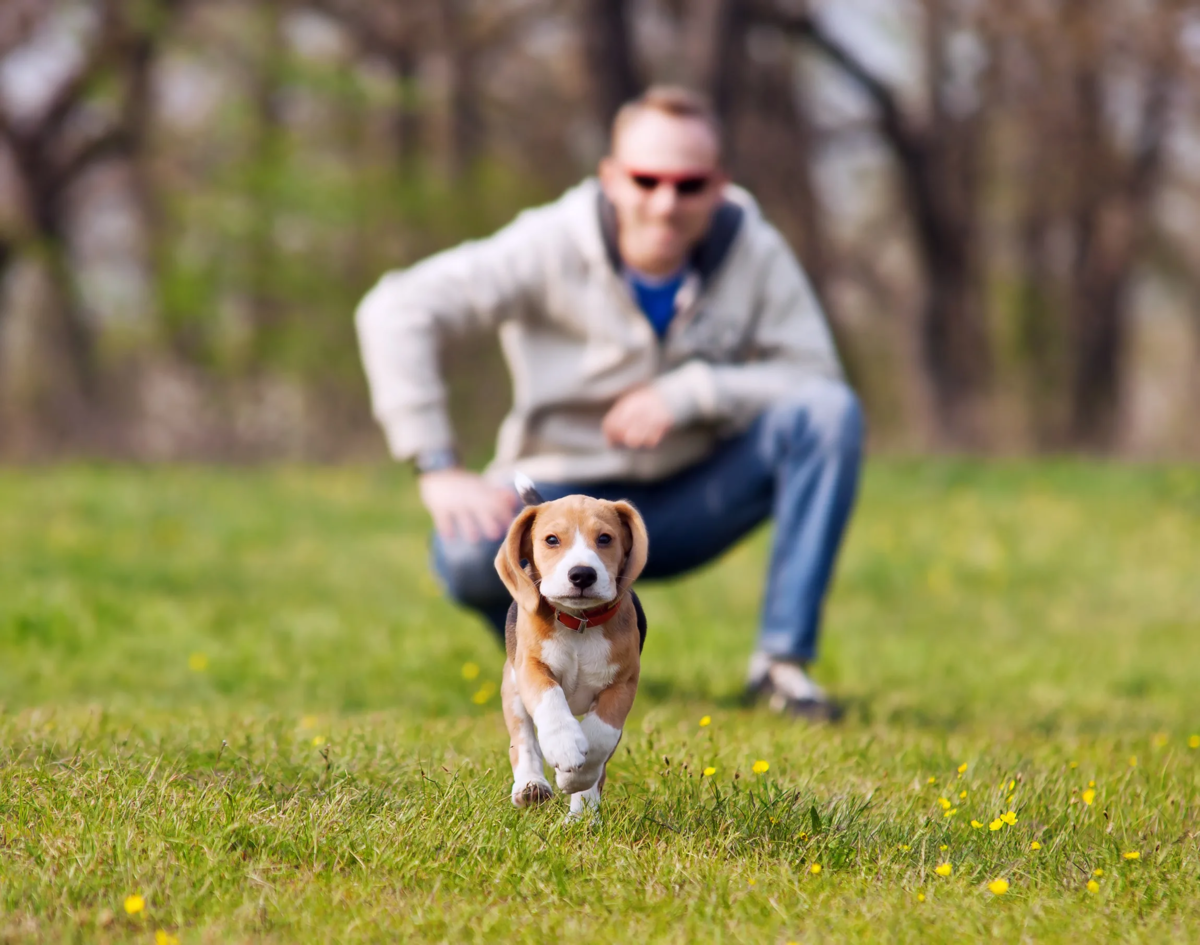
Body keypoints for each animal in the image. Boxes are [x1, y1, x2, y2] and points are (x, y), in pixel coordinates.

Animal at [494, 479, 652, 820]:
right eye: (551, 540)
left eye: (605, 538)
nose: (582, 574)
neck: (580, 623)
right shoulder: (531, 668)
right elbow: (550, 699)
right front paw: (564, 745)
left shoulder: (622, 685)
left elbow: (600, 735)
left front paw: (575, 779)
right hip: (512, 687)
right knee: (523, 740)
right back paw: (531, 785)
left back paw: (583, 815)